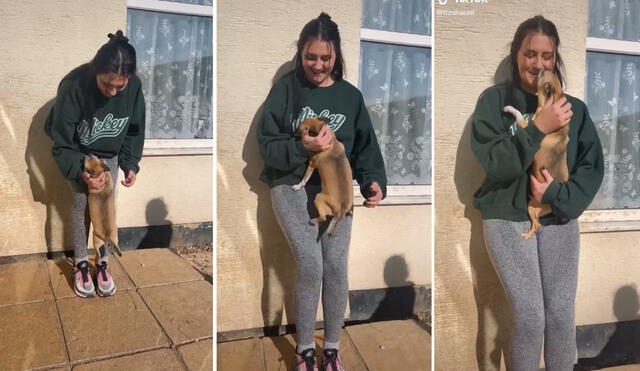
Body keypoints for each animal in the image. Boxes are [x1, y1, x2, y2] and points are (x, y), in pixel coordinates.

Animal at [504, 70, 568, 240]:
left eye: (543, 74)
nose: (540, 69)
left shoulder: (526, 125)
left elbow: (519, 115)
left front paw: (509, 108)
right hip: (531, 207)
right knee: (538, 225)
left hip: (531, 207)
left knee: (538, 225)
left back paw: (526, 236)